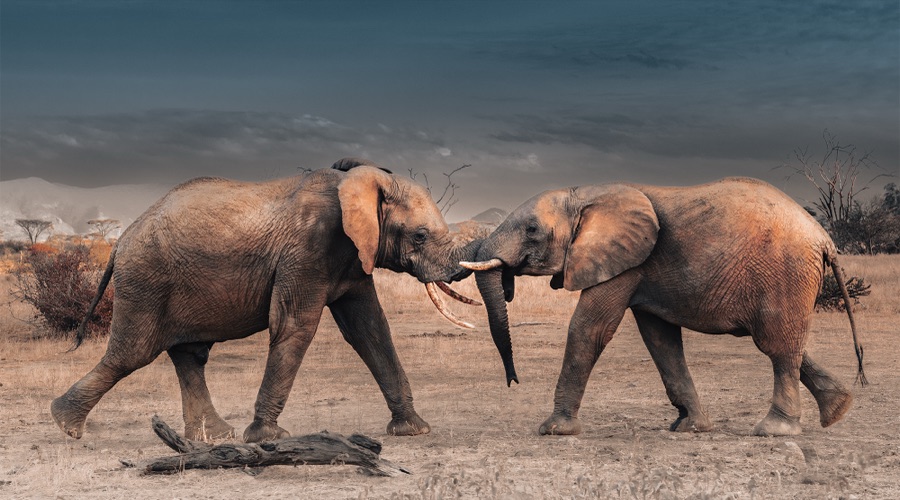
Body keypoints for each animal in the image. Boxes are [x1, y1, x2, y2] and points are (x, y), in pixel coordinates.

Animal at [51, 158, 482, 443]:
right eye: (420, 236)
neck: (357, 181)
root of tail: (120, 240)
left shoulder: (353, 256)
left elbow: (370, 330)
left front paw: (413, 430)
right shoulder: (309, 249)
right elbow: (296, 325)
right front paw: (266, 438)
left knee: (189, 355)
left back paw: (214, 438)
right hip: (145, 280)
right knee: (132, 353)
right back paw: (65, 425)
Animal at [462, 177, 866, 437]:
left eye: (531, 229)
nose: (513, 381)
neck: (585, 195)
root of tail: (824, 238)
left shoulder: (624, 261)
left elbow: (589, 329)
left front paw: (554, 430)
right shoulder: (640, 269)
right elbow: (660, 340)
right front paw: (689, 427)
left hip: (786, 271)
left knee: (777, 347)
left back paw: (775, 431)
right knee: (789, 344)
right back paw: (838, 410)